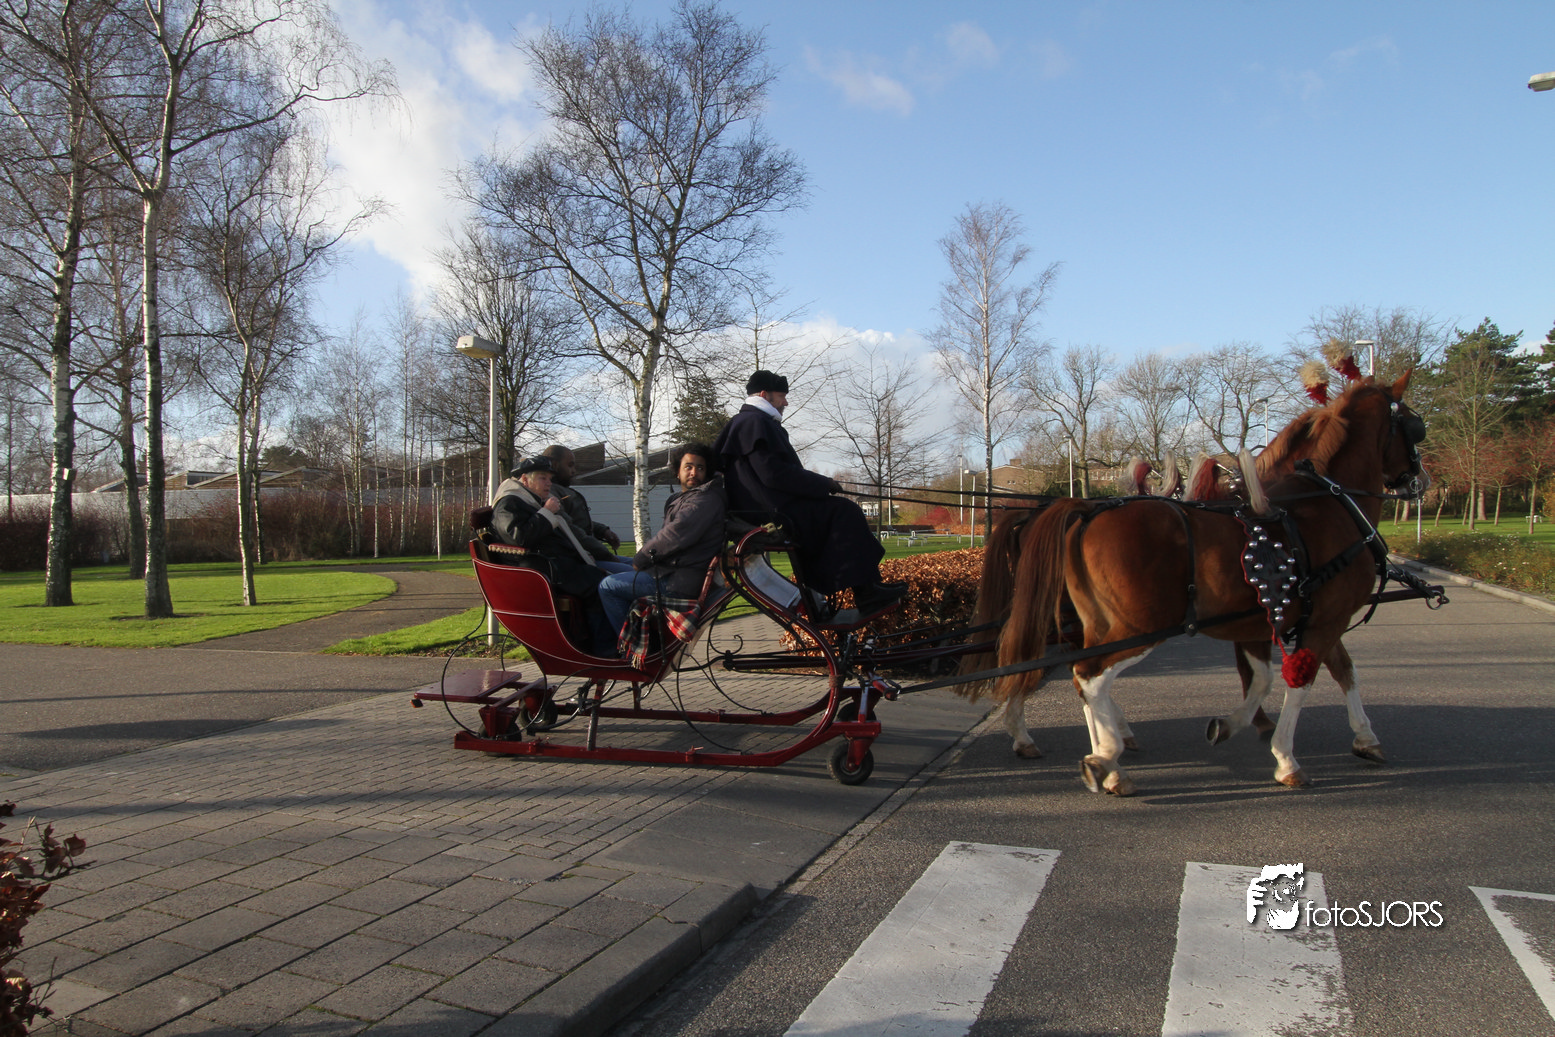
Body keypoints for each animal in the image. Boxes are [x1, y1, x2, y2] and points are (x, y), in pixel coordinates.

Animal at [959, 373, 1426, 793]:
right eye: (1414, 426)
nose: (1420, 481)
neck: (1322, 504)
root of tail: (1079, 511)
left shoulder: (1275, 618)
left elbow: (1306, 674)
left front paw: (1358, 736)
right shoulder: (1325, 616)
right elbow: (1301, 679)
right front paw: (1286, 757)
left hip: (1093, 623)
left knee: (1075, 676)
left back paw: (1102, 753)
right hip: (1136, 624)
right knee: (1084, 674)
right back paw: (1098, 754)